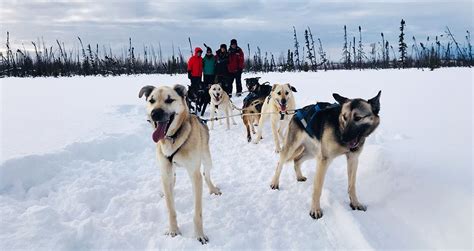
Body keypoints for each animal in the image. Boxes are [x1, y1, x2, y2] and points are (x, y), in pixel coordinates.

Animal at [138, 83, 221, 244]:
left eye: (169, 100)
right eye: (151, 100)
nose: (155, 113)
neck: (173, 138)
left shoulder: (194, 175)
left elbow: (197, 212)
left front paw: (199, 234)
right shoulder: (165, 171)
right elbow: (171, 209)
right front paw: (173, 230)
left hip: (207, 159)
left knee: (206, 174)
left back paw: (213, 188)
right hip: (170, 170)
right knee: (173, 180)